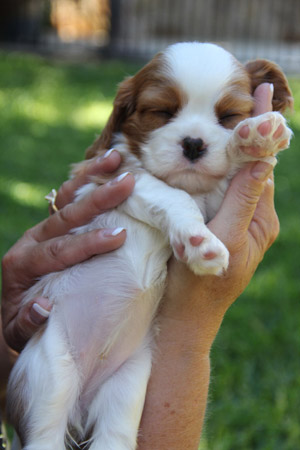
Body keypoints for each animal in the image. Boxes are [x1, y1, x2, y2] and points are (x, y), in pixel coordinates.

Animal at [7, 43, 292, 450]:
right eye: (162, 112)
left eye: (228, 116)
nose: (194, 143)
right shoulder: (114, 178)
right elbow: (173, 195)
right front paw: (200, 244)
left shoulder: (212, 198)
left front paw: (257, 135)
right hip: (46, 373)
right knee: (45, 434)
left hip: (125, 389)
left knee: (114, 436)